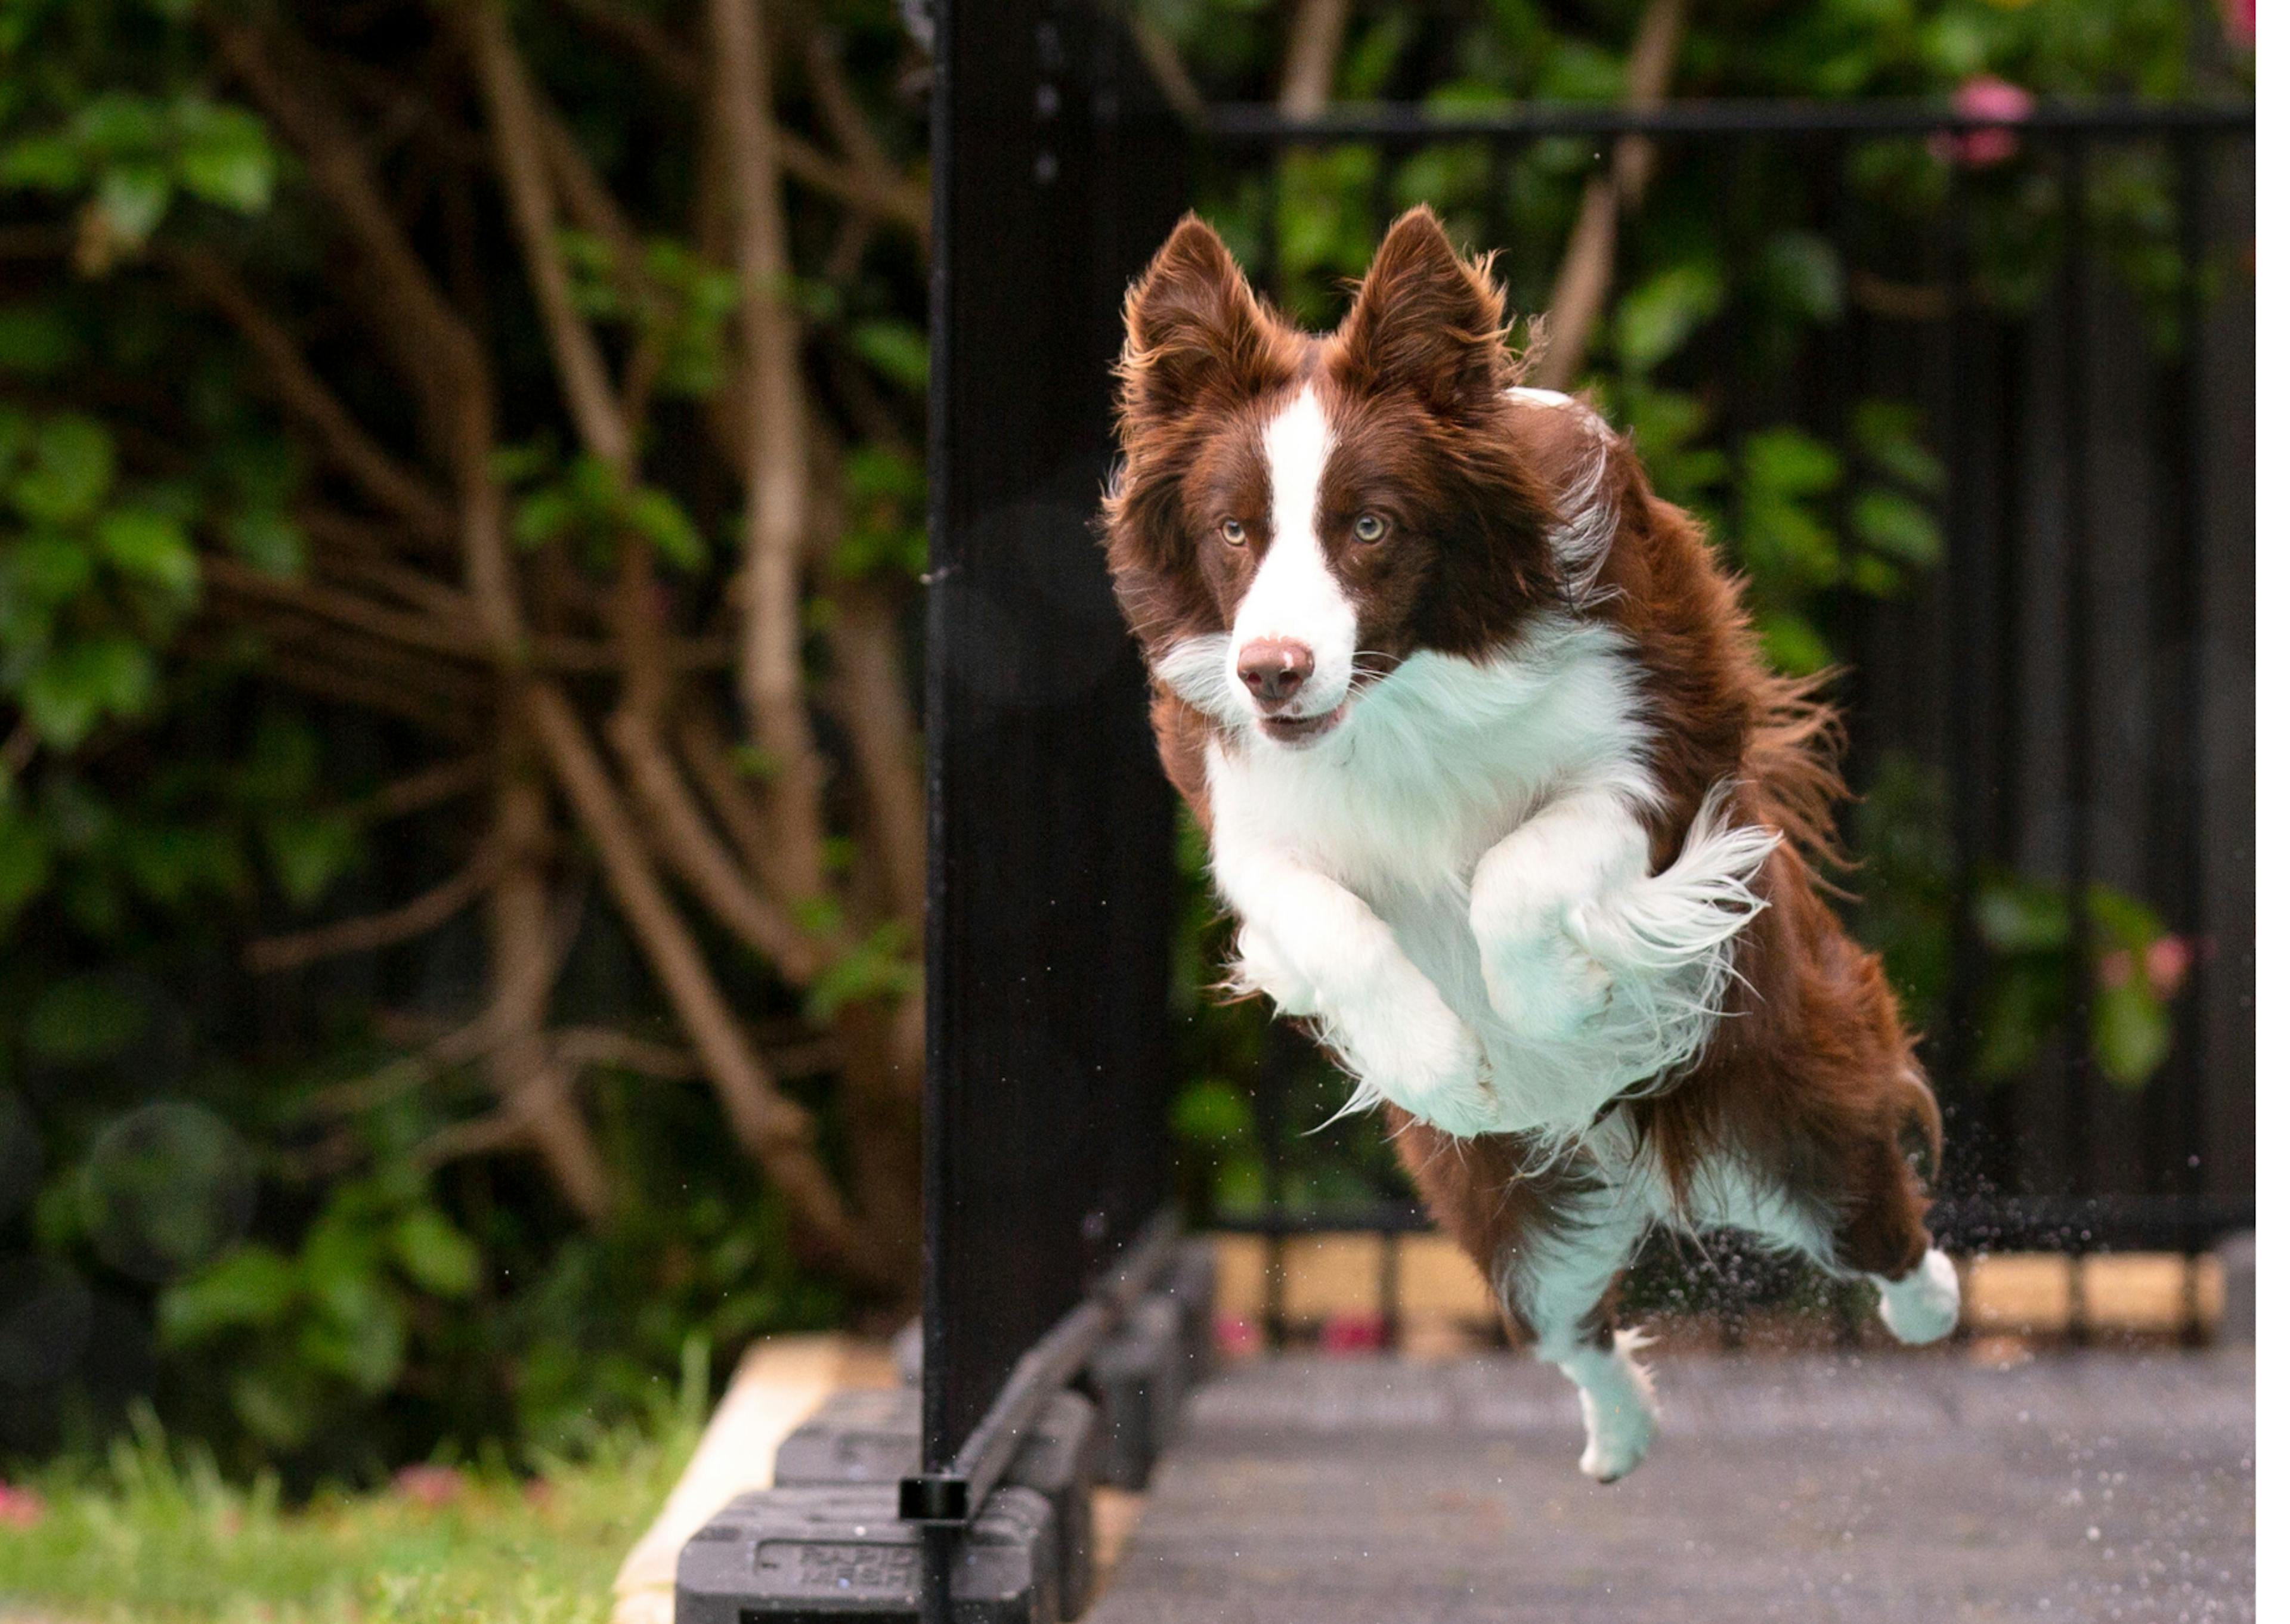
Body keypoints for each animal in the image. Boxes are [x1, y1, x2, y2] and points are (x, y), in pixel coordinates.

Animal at [1099, 206, 1960, 1484]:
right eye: (1233, 531)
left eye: (1371, 525)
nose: (1275, 671)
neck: (1403, 689)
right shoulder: (1243, 804)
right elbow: (1323, 915)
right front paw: (1448, 1064)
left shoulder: (1665, 744)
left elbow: (1517, 869)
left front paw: (1560, 1000)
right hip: (1494, 1202)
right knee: (1569, 1317)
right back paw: (1620, 1433)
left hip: (1786, 1088)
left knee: (1870, 1208)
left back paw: (1932, 1301)